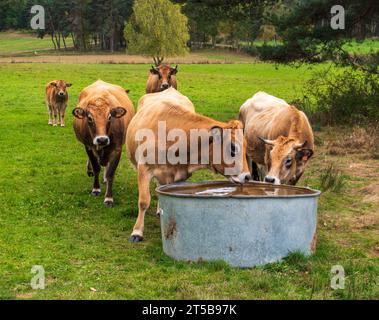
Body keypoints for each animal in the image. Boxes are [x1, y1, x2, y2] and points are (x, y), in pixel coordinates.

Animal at [72, 80, 136, 208]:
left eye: (110, 117)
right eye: (89, 118)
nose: (102, 140)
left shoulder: (117, 149)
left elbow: (111, 173)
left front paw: (108, 198)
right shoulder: (89, 147)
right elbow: (96, 167)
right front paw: (96, 189)